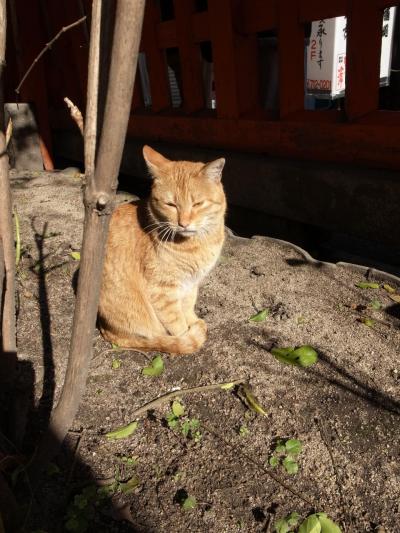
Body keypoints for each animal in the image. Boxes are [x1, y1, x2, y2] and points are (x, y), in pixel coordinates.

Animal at [98, 144, 227, 354]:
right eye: (171, 205)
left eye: (197, 204)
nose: (184, 223)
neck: (195, 244)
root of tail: (106, 330)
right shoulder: (163, 291)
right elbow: (178, 324)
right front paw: (187, 335)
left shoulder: (191, 284)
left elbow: (188, 307)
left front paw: (194, 321)